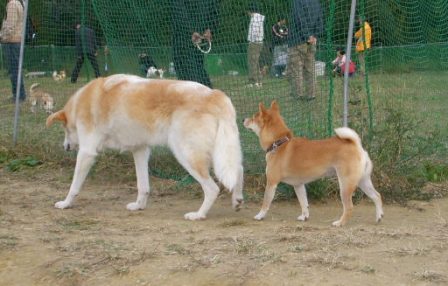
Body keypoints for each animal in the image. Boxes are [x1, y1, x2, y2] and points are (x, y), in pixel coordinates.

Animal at [243, 100, 384, 226]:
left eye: (254, 117)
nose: (244, 119)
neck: (279, 143)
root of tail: (356, 145)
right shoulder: (298, 185)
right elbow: (304, 203)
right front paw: (304, 216)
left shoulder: (271, 182)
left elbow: (266, 202)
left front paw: (260, 215)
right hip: (362, 181)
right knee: (377, 196)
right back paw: (379, 217)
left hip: (345, 184)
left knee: (349, 207)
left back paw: (339, 223)